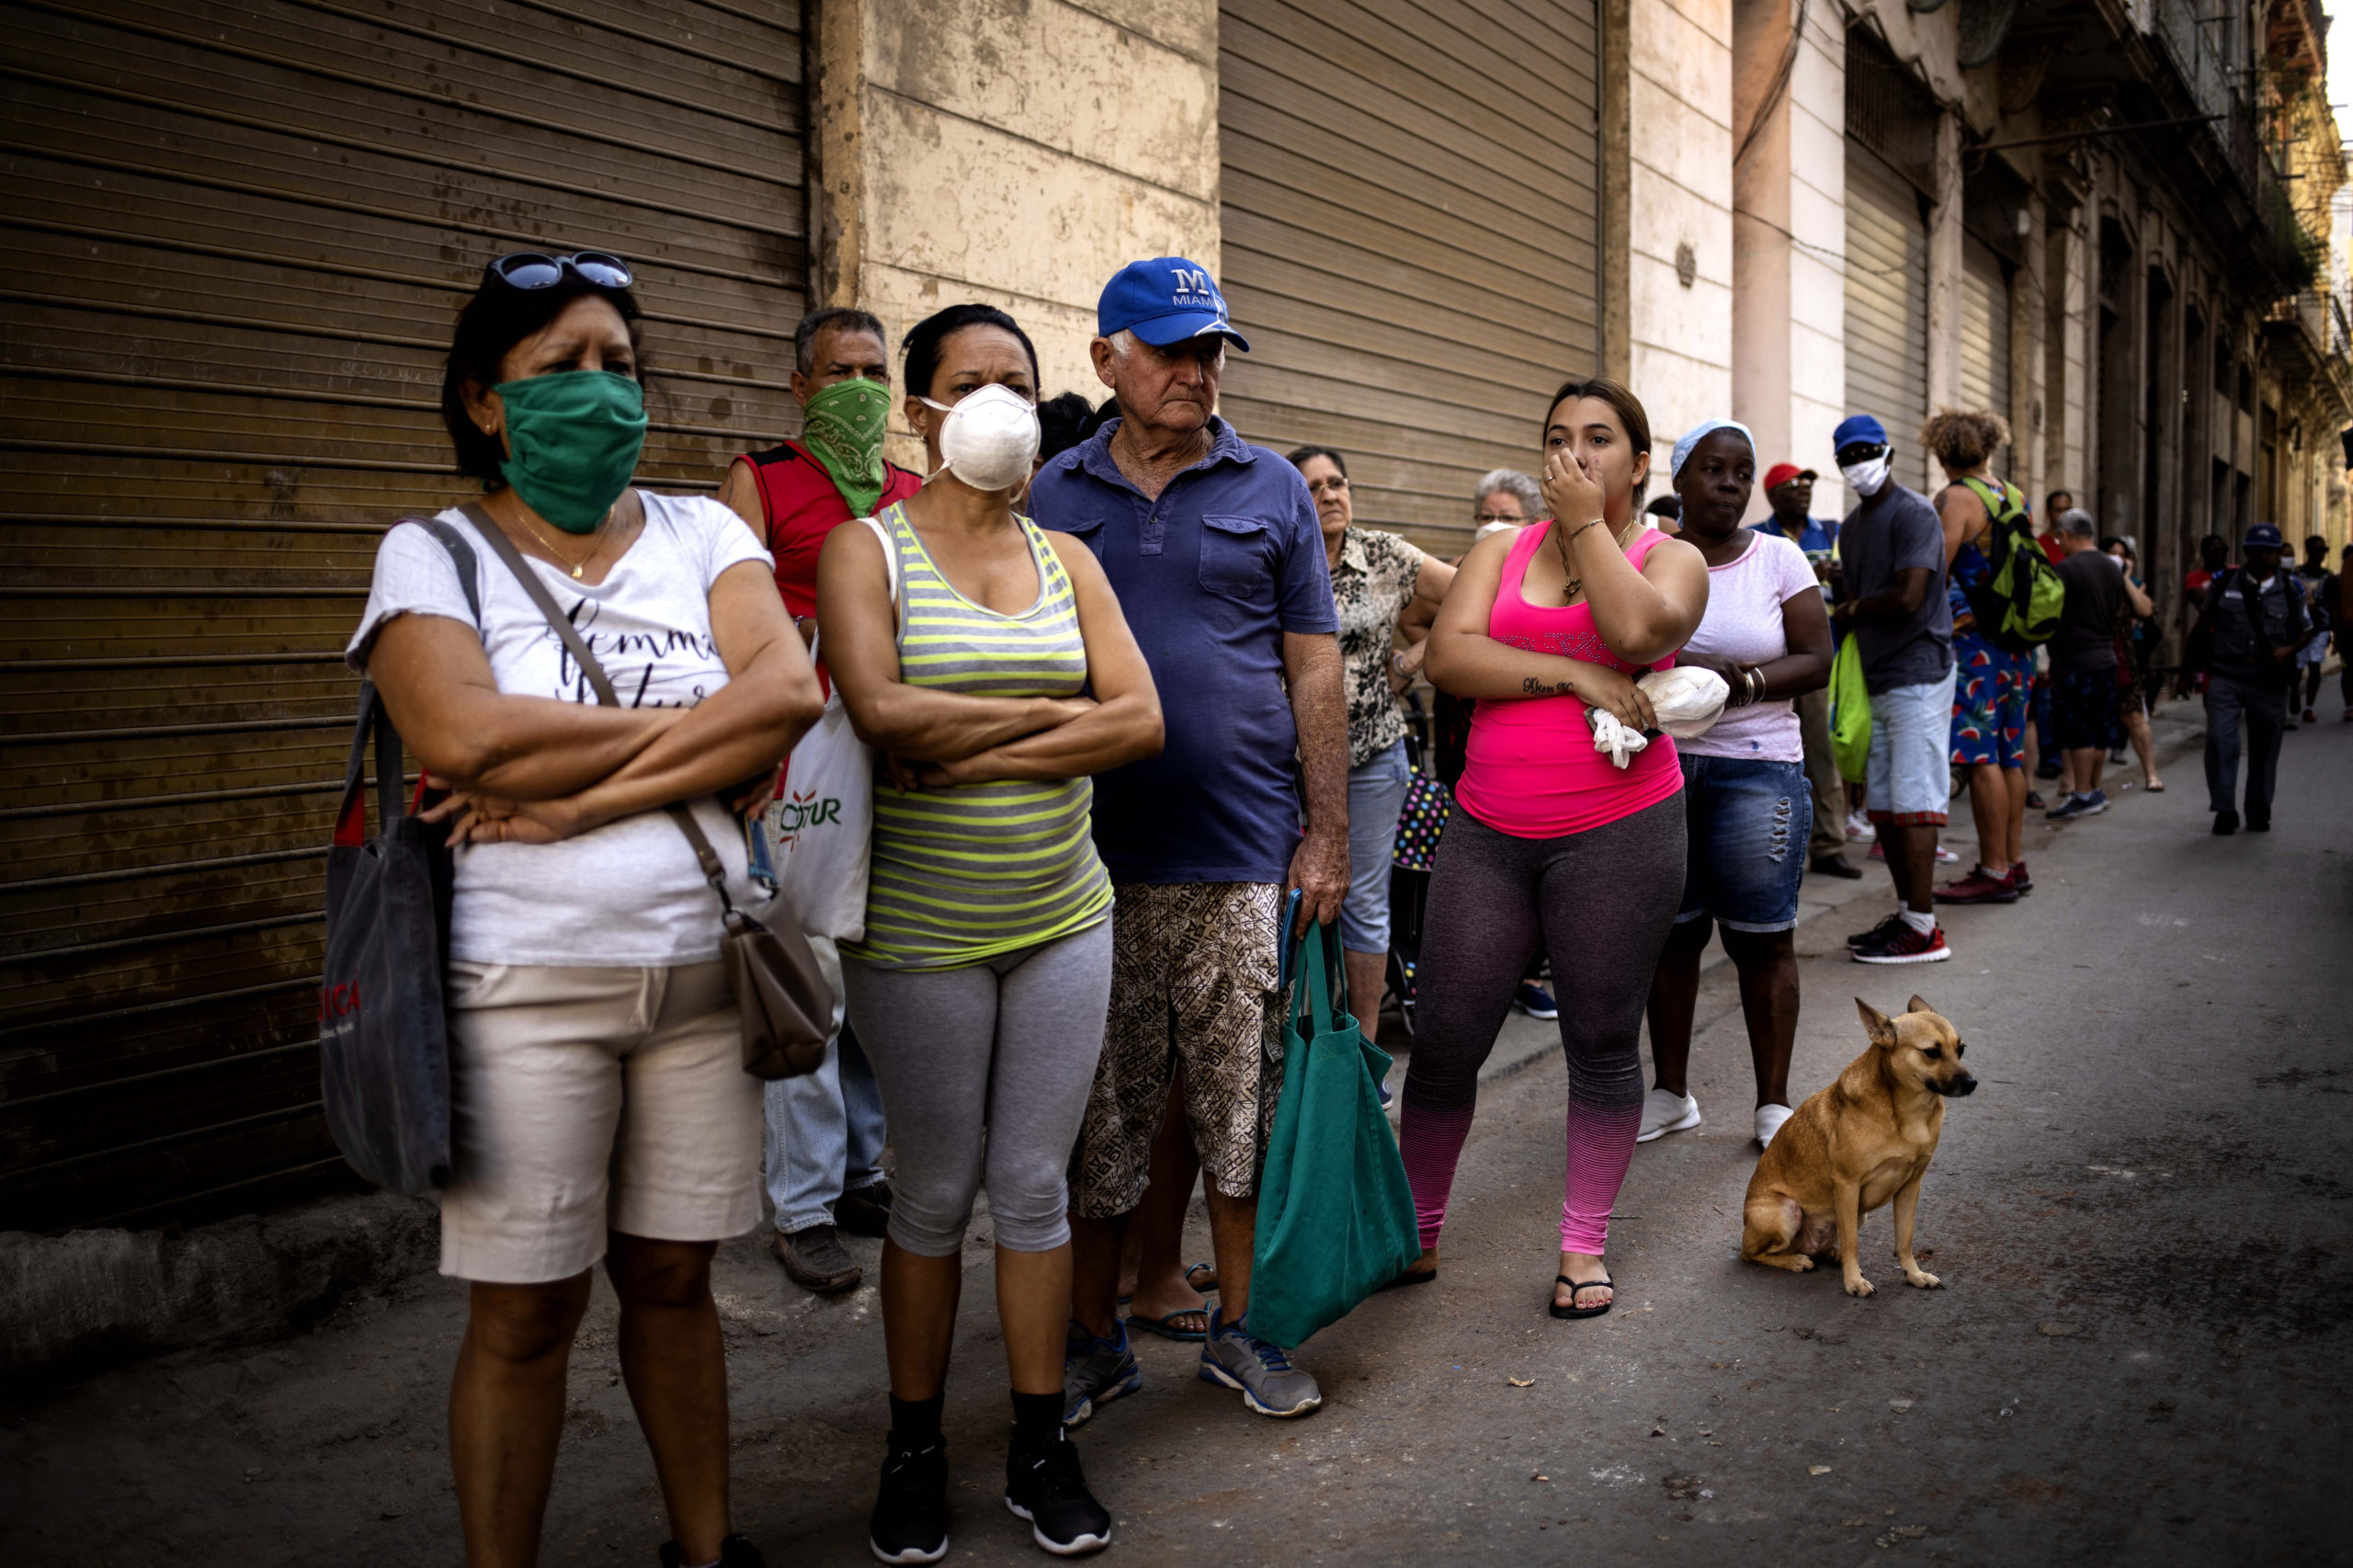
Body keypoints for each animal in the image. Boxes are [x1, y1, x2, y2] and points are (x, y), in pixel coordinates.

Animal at [1741, 988, 1976, 1290]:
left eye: (1961, 1049)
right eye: (1932, 1052)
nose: (1972, 1083)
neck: (1906, 1112)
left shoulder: (1910, 1187)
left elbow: (1904, 1240)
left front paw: (1914, 1274)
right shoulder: (1847, 1186)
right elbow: (1852, 1242)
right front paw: (1854, 1282)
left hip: (1856, 1214)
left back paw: (1830, 1253)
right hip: (1787, 1211)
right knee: (1753, 1254)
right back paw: (1794, 1261)